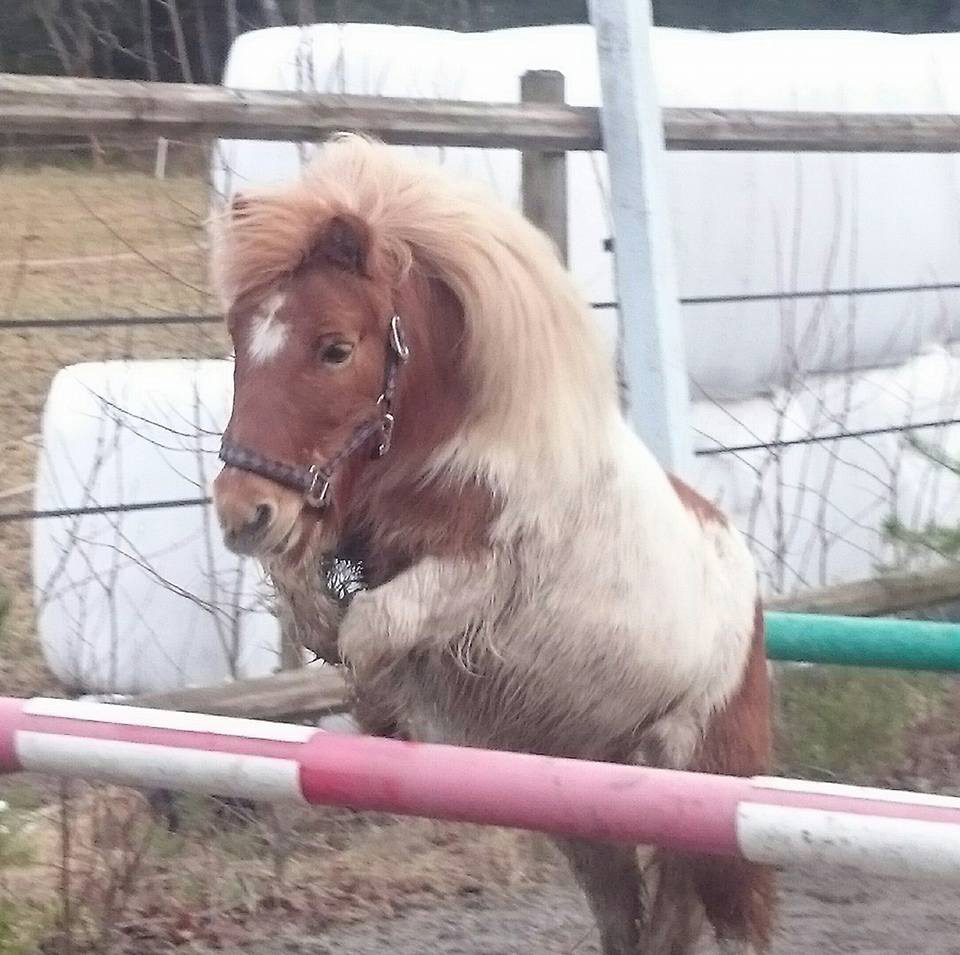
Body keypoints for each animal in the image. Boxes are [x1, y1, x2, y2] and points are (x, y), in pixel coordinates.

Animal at [210, 136, 772, 955]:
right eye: (238, 338)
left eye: (335, 349)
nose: (242, 514)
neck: (456, 447)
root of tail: (750, 592)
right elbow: (315, 614)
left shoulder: (481, 583)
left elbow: (373, 626)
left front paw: (381, 721)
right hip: (587, 811)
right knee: (630, 914)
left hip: (707, 799)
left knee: (728, 913)